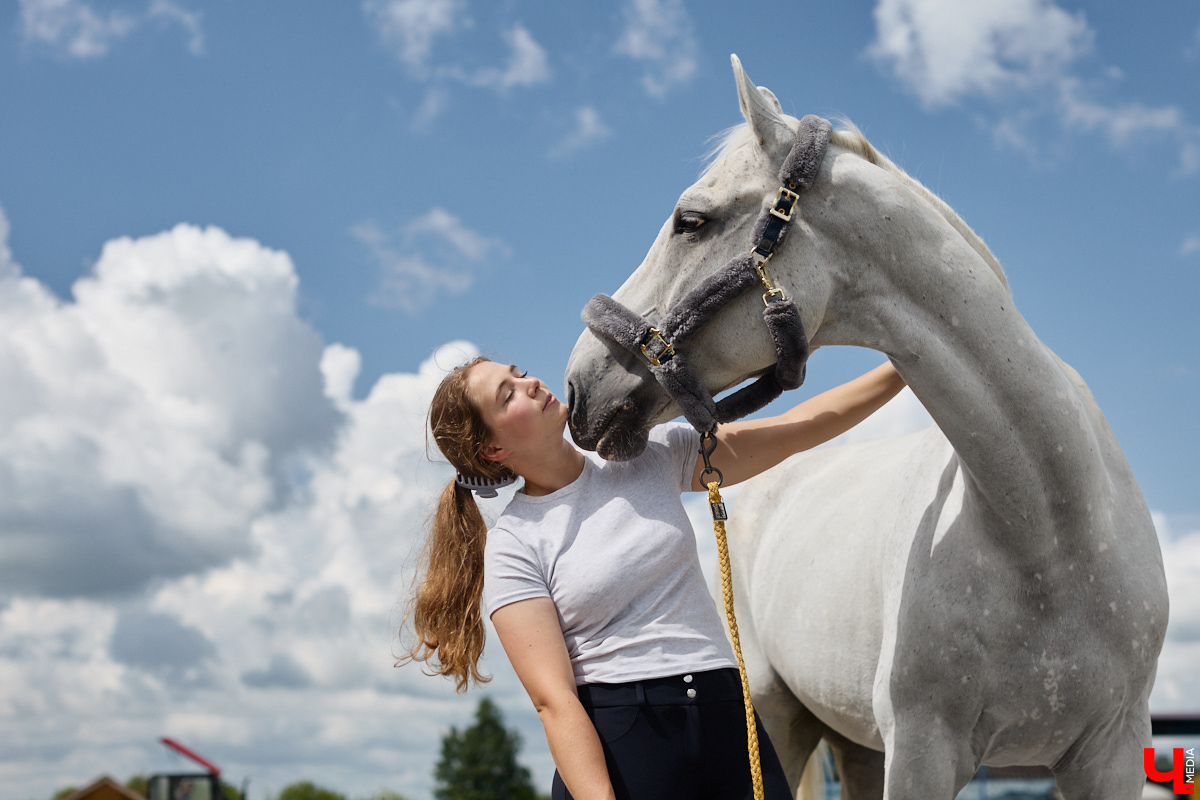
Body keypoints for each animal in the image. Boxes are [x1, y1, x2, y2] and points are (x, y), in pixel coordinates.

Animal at [563, 55, 1168, 800]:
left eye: (691, 220)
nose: (578, 386)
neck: (1048, 531)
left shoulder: (1112, 754)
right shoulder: (922, 751)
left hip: (856, 745)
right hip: (779, 719)